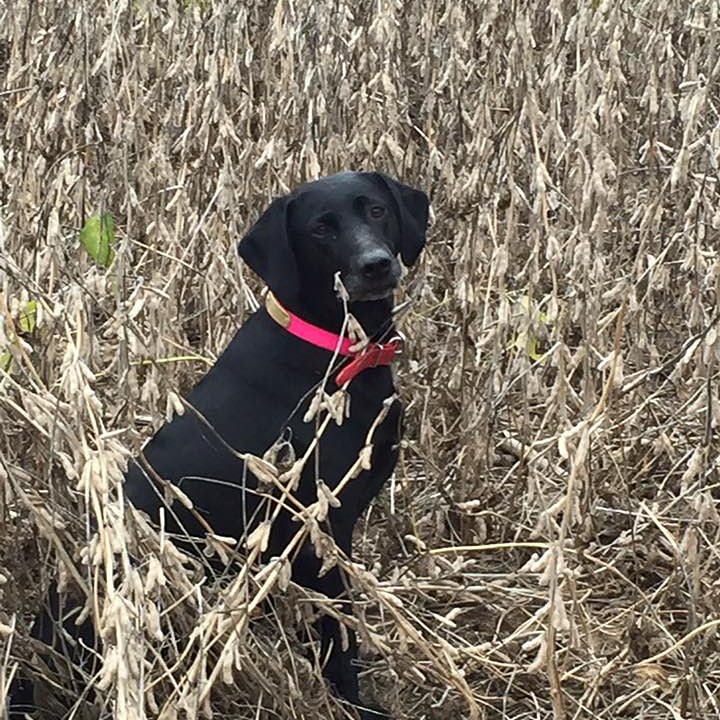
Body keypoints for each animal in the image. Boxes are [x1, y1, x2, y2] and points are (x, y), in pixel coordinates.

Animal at [9, 170, 428, 720]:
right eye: (321, 228)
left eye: (376, 210)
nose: (375, 264)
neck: (329, 347)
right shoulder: (318, 529)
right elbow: (338, 636)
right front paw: (354, 703)